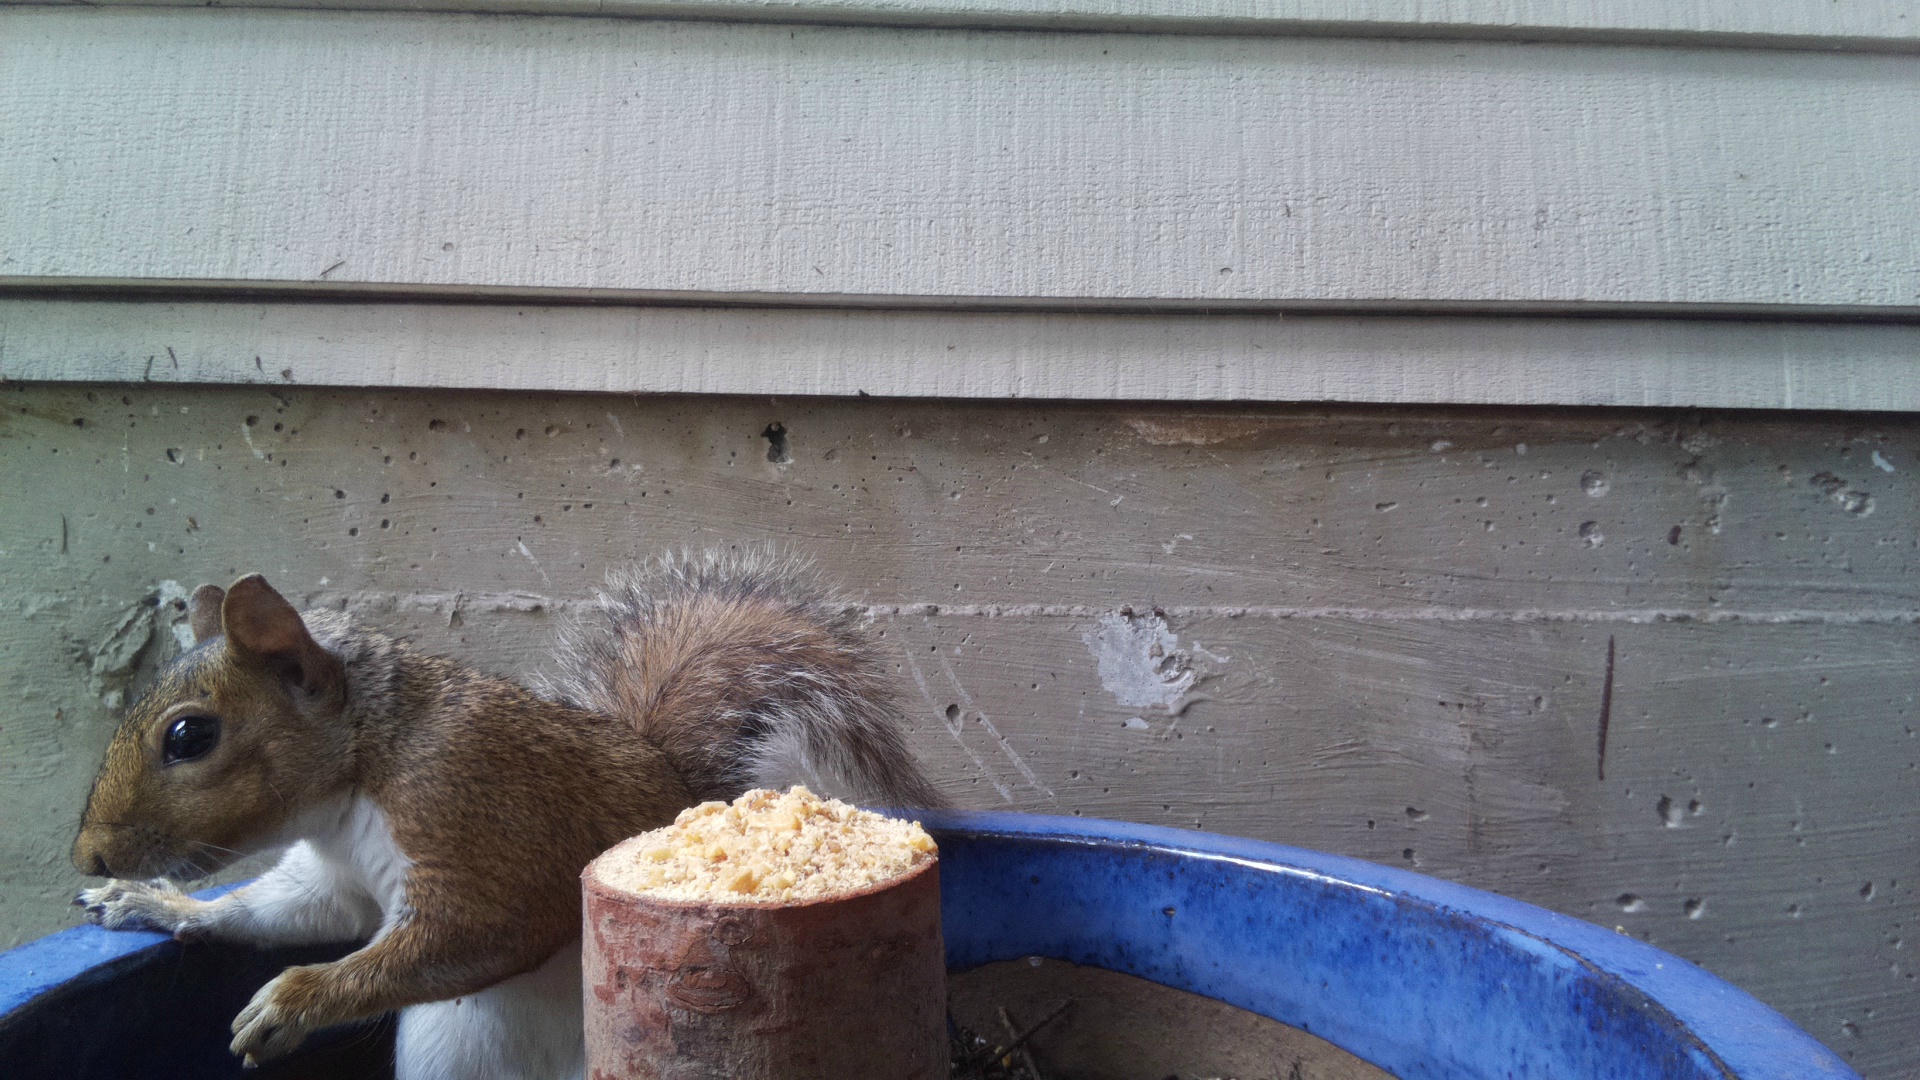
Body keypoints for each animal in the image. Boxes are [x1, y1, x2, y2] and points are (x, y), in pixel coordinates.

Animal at [70, 549, 942, 1079]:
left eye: (189, 736)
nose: (89, 857)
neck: (363, 769)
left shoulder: (475, 813)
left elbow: (476, 937)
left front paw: (292, 1002)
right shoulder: (335, 879)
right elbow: (275, 912)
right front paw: (154, 904)